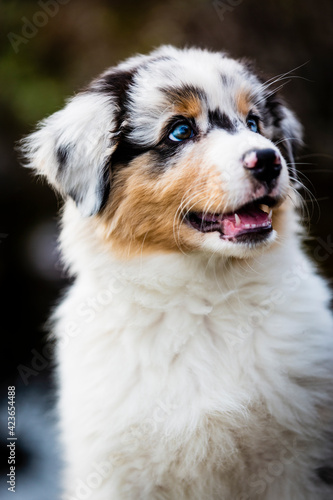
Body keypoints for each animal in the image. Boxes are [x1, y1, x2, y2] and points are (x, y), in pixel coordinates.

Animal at [21, 45, 332, 498]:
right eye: (180, 131)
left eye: (254, 123)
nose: (269, 160)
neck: (204, 295)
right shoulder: (115, 472)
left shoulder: (301, 464)